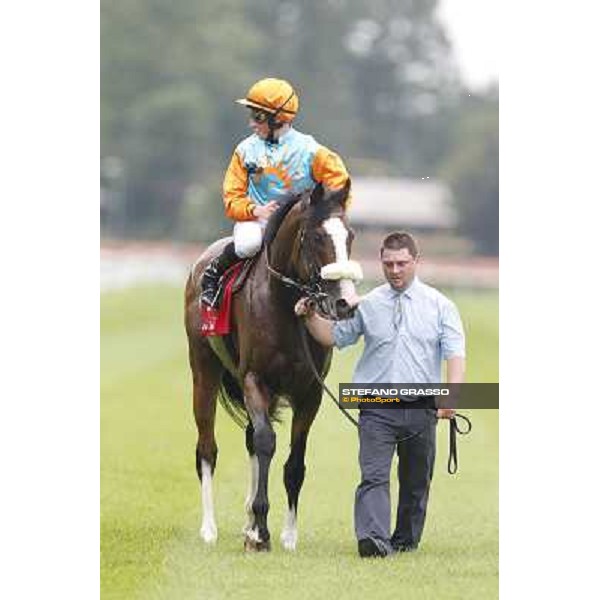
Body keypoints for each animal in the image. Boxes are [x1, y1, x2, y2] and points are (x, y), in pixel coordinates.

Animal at [183, 179, 360, 552]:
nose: (346, 303)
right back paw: (210, 528)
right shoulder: (255, 379)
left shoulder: (310, 392)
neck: (285, 306)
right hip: (203, 373)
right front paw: (261, 531)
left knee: (250, 439)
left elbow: (294, 461)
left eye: (349, 236)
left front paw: (286, 533)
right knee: (207, 448)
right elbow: (267, 442)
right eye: (317, 237)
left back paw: (248, 521)